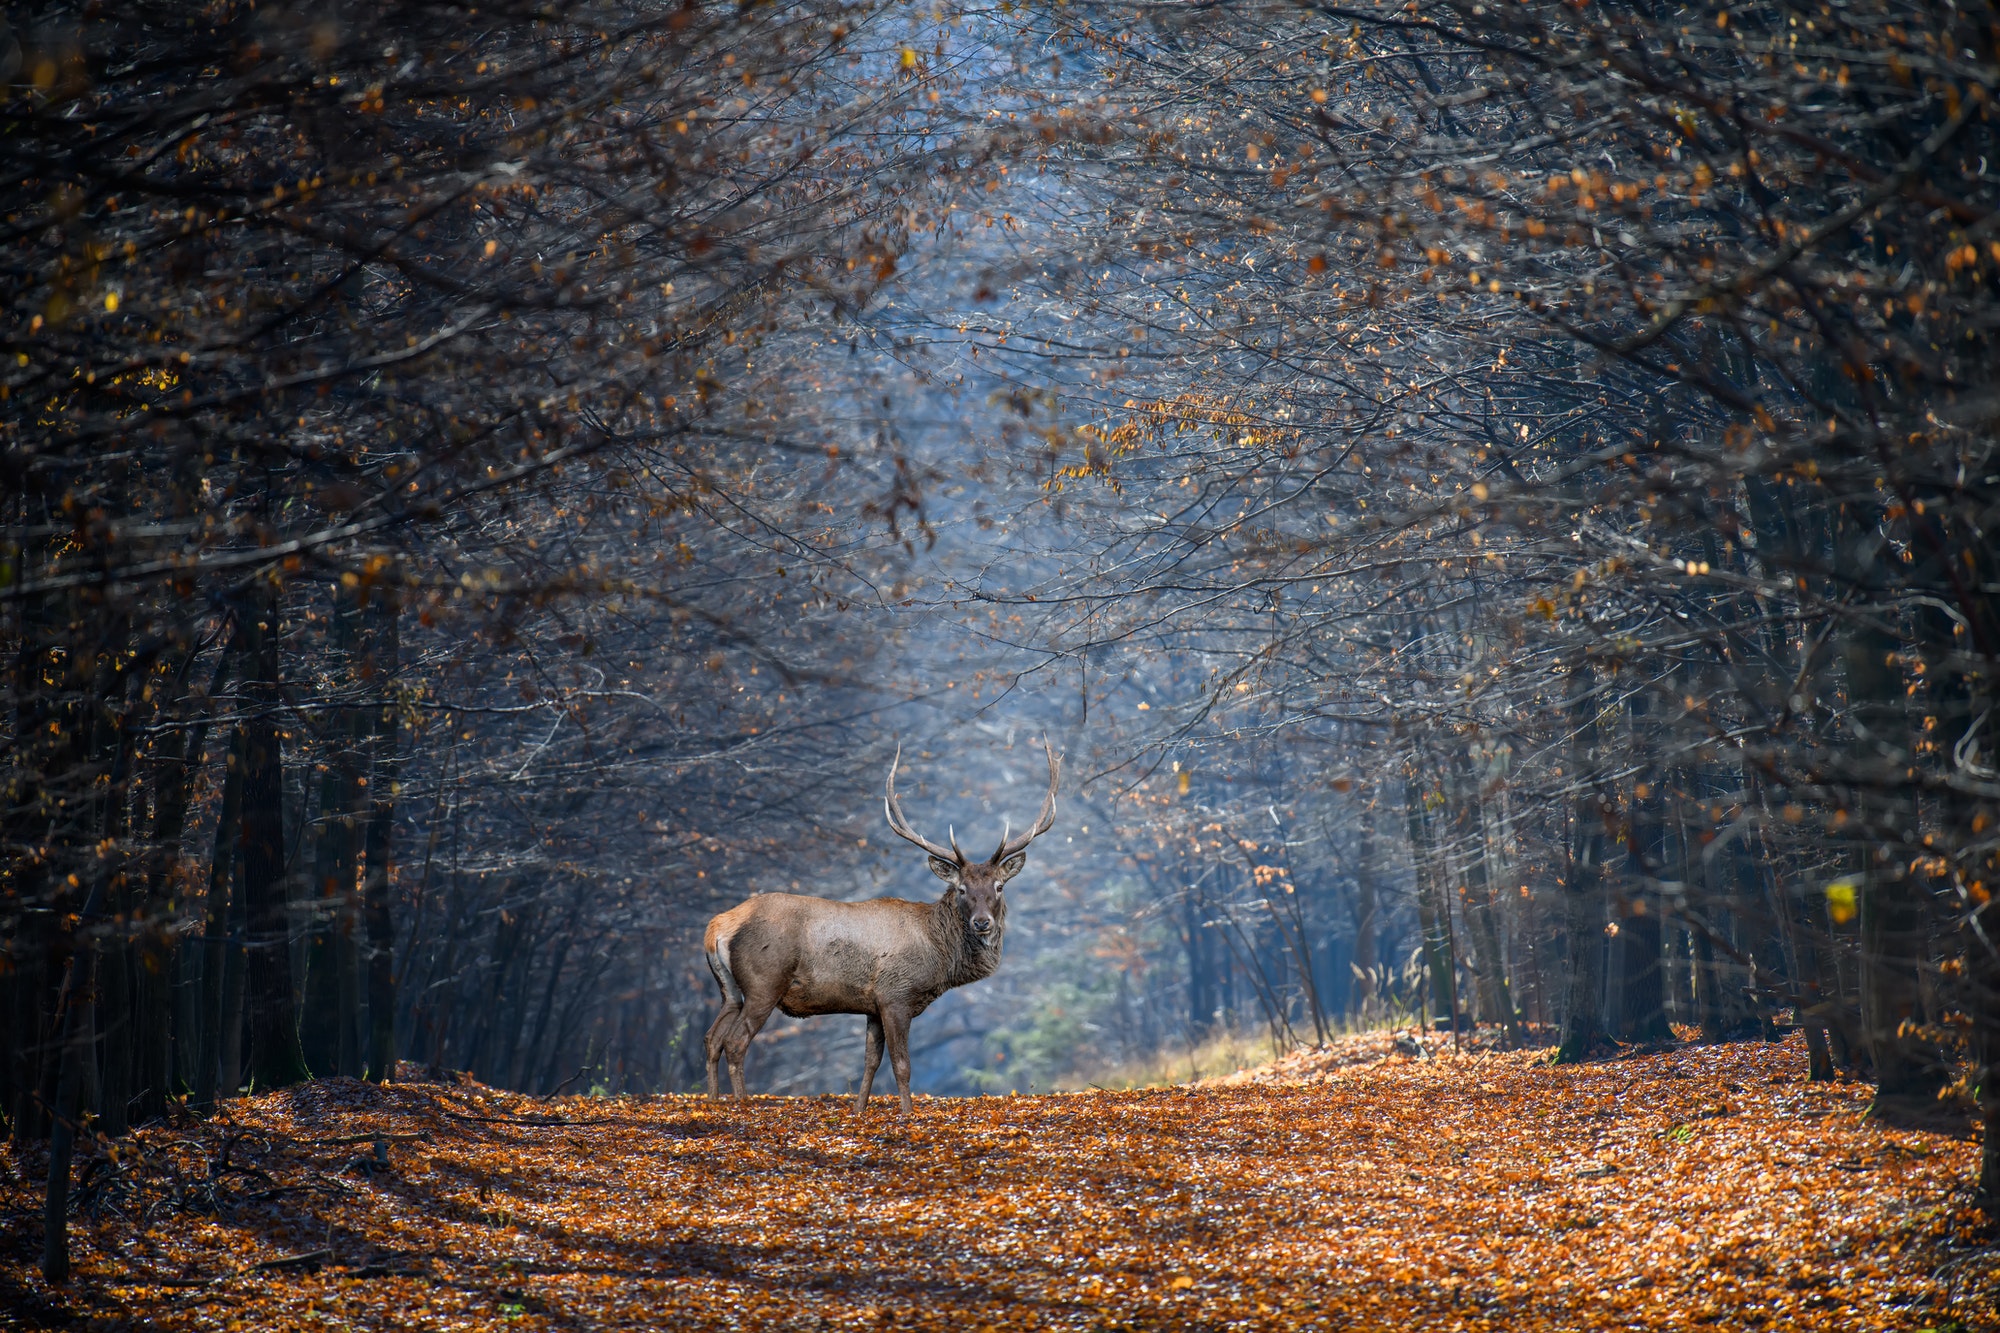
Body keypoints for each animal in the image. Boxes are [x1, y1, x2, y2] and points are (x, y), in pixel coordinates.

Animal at [704, 736, 1056, 1112]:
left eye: (999, 886)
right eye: (961, 888)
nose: (981, 923)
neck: (938, 956)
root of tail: (718, 927)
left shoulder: (871, 1006)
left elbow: (870, 1061)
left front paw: (859, 1110)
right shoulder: (895, 996)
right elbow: (901, 1065)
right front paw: (907, 1113)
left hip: (730, 990)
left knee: (712, 1037)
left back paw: (712, 1101)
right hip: (764, 982)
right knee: (736, 1042)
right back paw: (741, 1104)